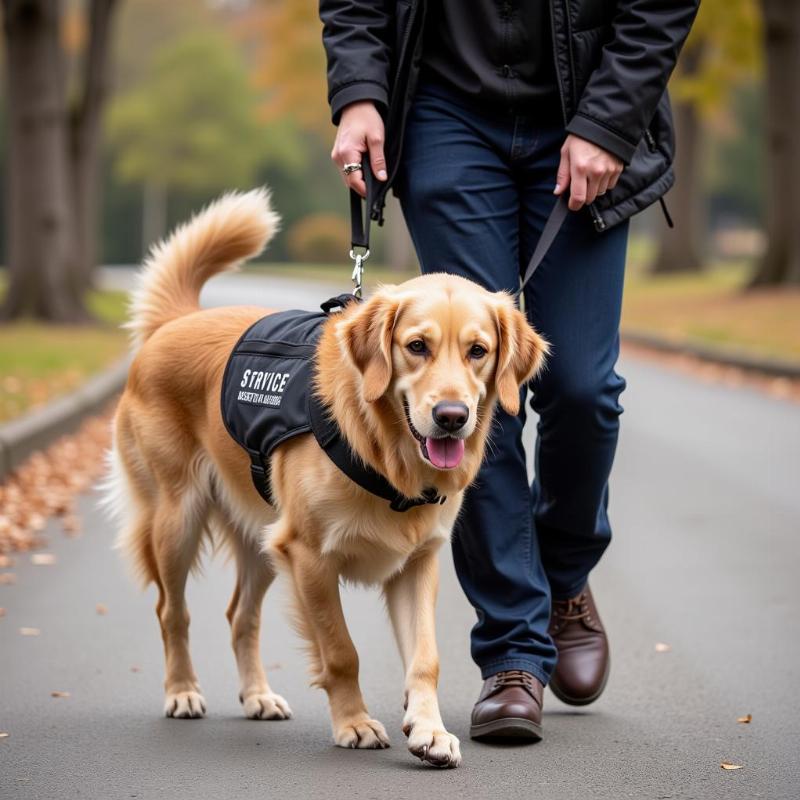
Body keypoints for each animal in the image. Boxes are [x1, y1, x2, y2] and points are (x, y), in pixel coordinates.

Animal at [103, 189, 548, 768]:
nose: (452, 417)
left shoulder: (417, 563)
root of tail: (175, 322)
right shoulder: (310, 557)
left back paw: (257, 695)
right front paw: (355, 723)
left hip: (263, 541)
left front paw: (429, 730)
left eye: (478, 351)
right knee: (171, 611)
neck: (384, 450)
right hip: (179, 520)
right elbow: (341, 652)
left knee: (240, 616)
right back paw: (181, 691)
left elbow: (425, 657)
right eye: (417, 346)